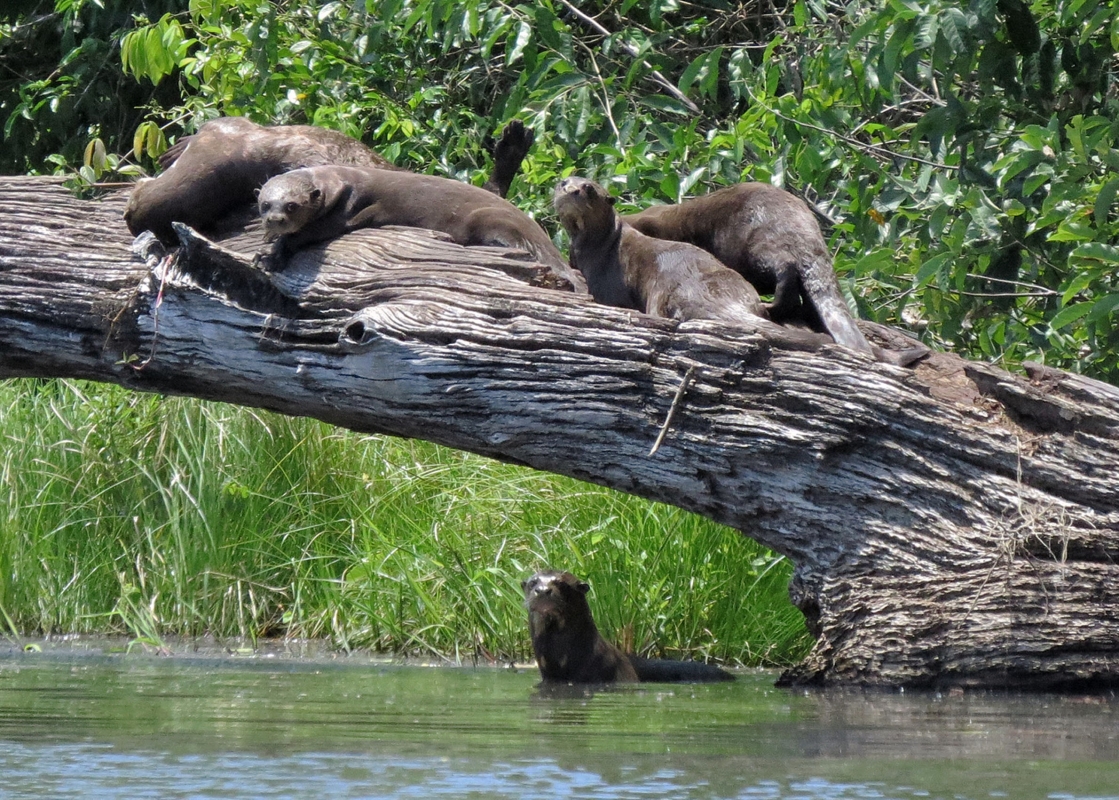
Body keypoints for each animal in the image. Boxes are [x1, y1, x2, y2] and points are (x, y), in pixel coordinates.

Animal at [255, 164, 586, 293]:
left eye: (292, 206)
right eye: (265, 204)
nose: (275, 219)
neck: (338, 181)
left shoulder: (345, 210)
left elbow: (308, 235)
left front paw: (272, 254)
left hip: (491, 220)